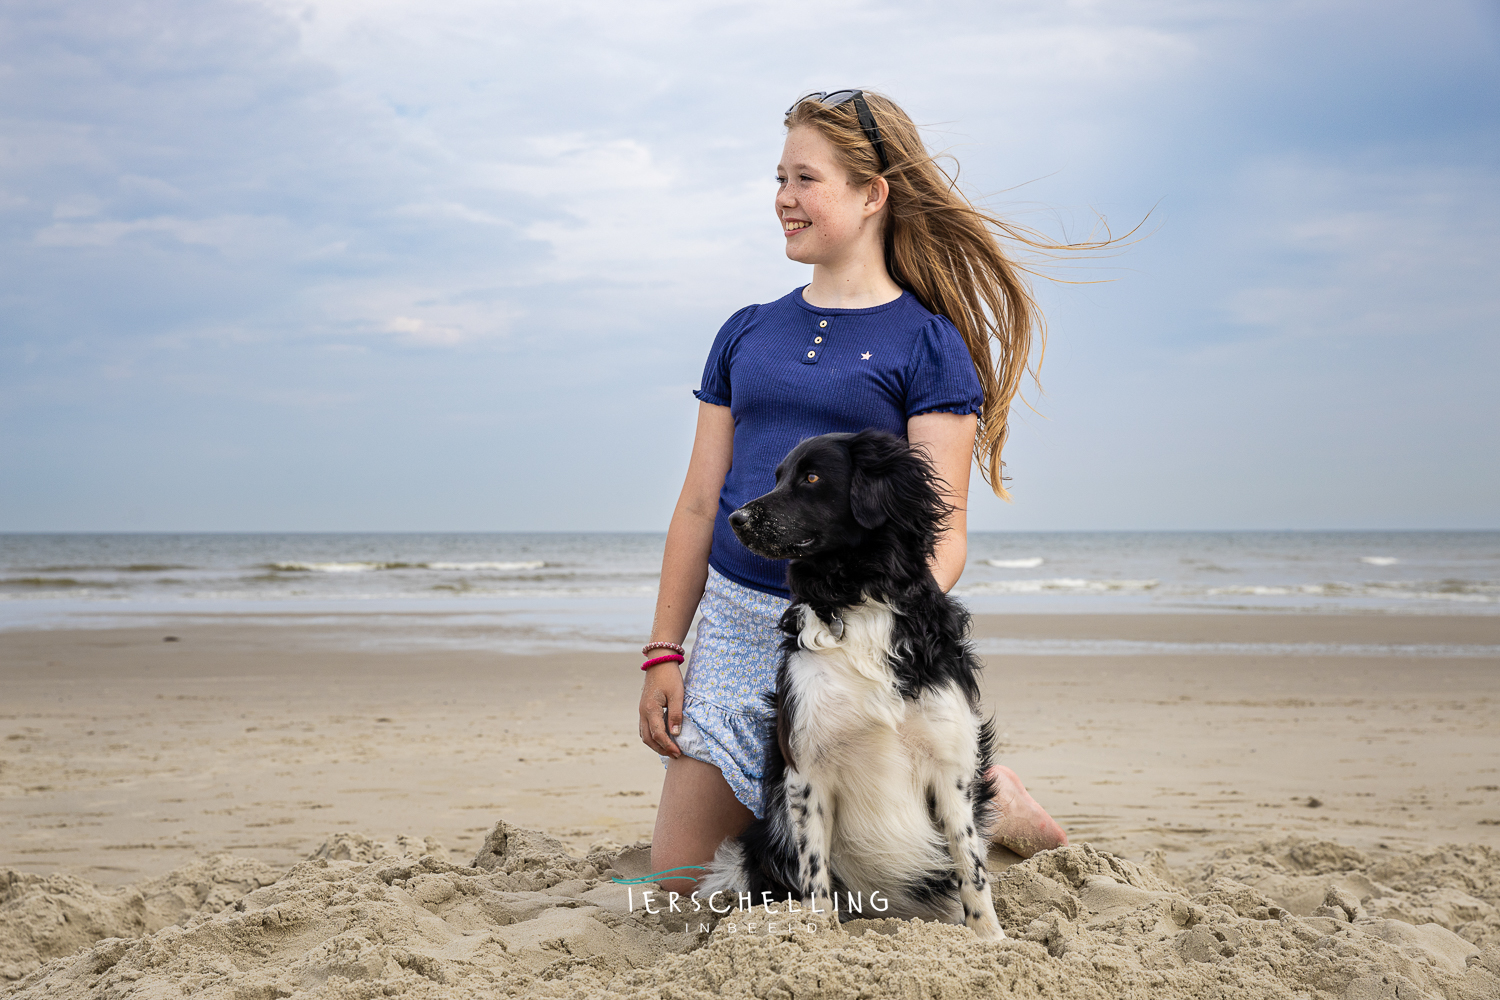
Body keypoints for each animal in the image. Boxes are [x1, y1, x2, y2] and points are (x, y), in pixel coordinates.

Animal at [693, 428, 1002, 941]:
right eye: (778, 476)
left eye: (812, 477)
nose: (736, 519)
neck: (858, 599)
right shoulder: (807, 771)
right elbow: (814, 872)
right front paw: (820, 937)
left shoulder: (951, 766)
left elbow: (970, 863)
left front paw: (990, 938)